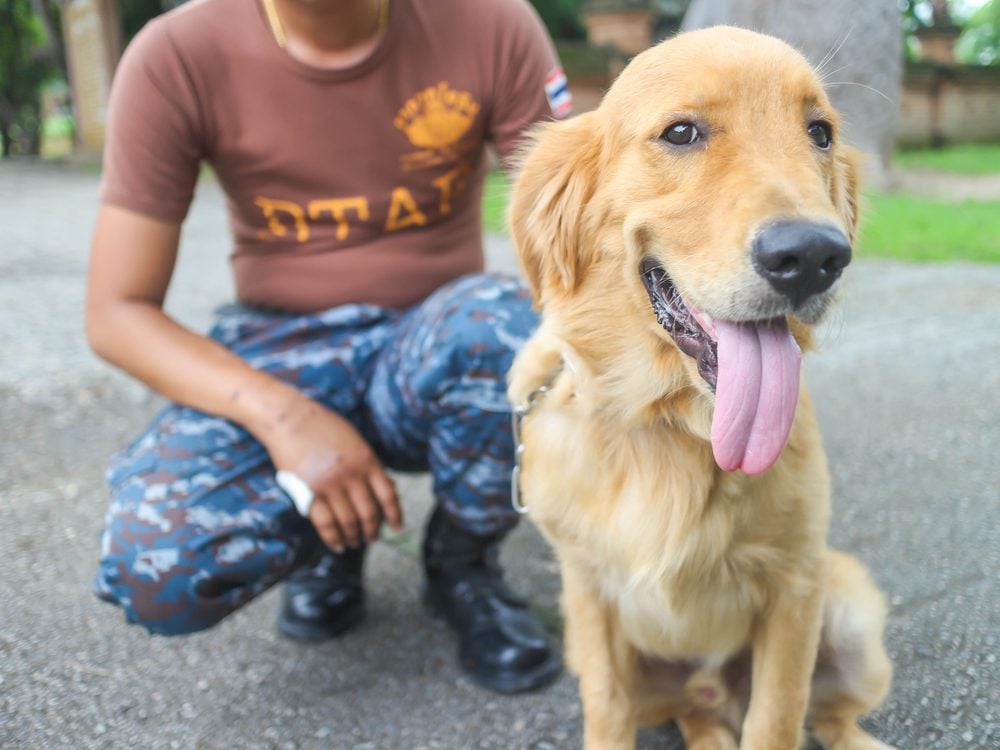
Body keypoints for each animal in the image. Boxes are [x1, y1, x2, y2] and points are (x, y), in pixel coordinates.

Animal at [512, 25, 896, 750]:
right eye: (682, 132)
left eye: (820, 132)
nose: (814, 257)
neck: (668, 425)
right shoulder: (586, 588)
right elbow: (606, 708)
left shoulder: (794, 586)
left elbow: (778, 716)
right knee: (693, 711)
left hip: (848, 605)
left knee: (829, 714)